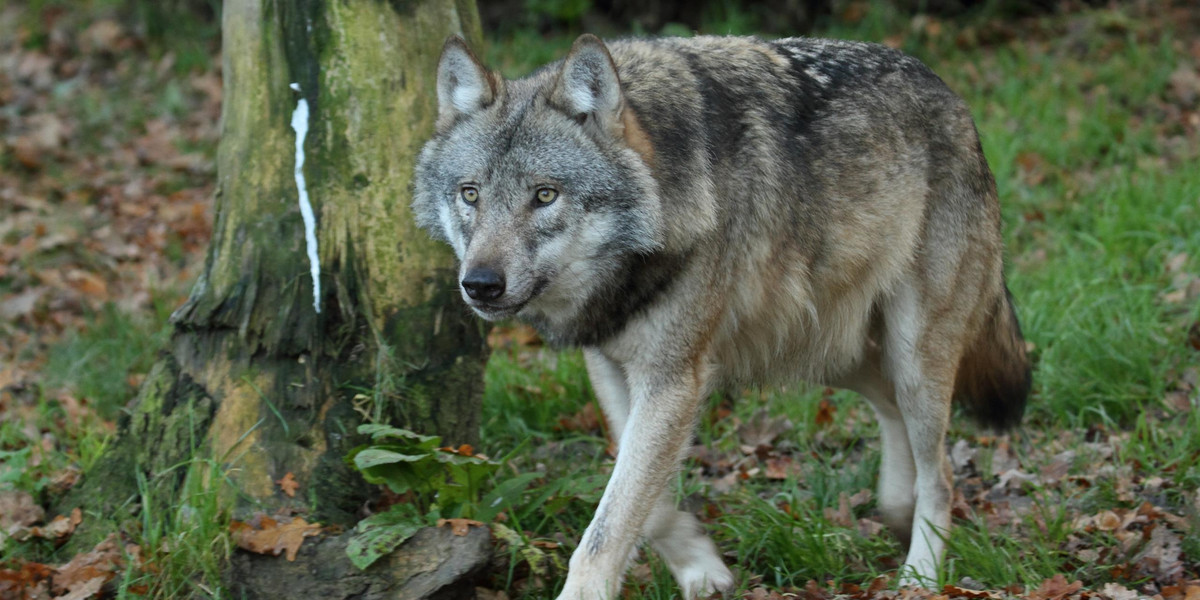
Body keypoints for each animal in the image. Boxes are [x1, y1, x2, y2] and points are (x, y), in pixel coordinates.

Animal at [412, 34, 1032, 600]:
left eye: (545, 195)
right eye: (470, 194)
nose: (480, 284)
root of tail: (952, 96)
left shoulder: (672, 380)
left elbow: (609, 525)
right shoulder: (613, 368)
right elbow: (647, 502)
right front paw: (701, 567)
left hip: (910, 353)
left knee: (942, 474)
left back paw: (919, 575)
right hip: (830, 352)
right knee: (891, 414)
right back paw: (895, 513)